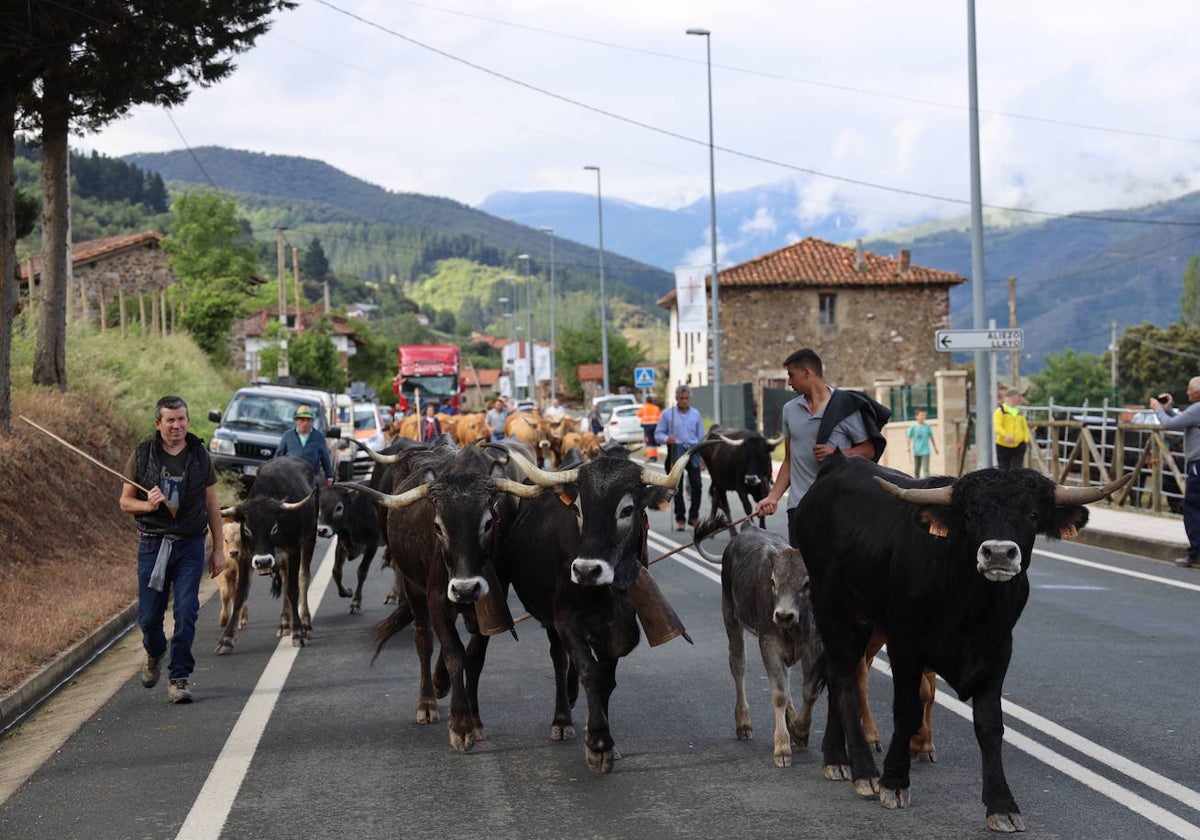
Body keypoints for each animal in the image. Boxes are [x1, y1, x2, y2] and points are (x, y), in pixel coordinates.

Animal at [715, 530, 820, 768]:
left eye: (807, 583)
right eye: (773, 581)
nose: (783, 615)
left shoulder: (815, 645)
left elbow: (809, 692)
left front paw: (800, 730)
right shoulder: (769, 644)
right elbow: (779, 694)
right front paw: (782, 747)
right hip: (731, 618)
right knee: (738, 666)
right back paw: (744, 723)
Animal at [792, 448, 1128, 830]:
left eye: (1031, 513)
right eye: (969, 514)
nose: (998, 553)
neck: (970, 604)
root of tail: (838, 465)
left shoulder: (998, 651)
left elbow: (990, 725)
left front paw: (1001, 804)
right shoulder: (906, 645)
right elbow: (906, 712)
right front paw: (894, 781)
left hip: (862, 618)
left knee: (839, 674)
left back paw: (837, 757)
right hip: (830, 604)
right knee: (846, 678)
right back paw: (863, 769)